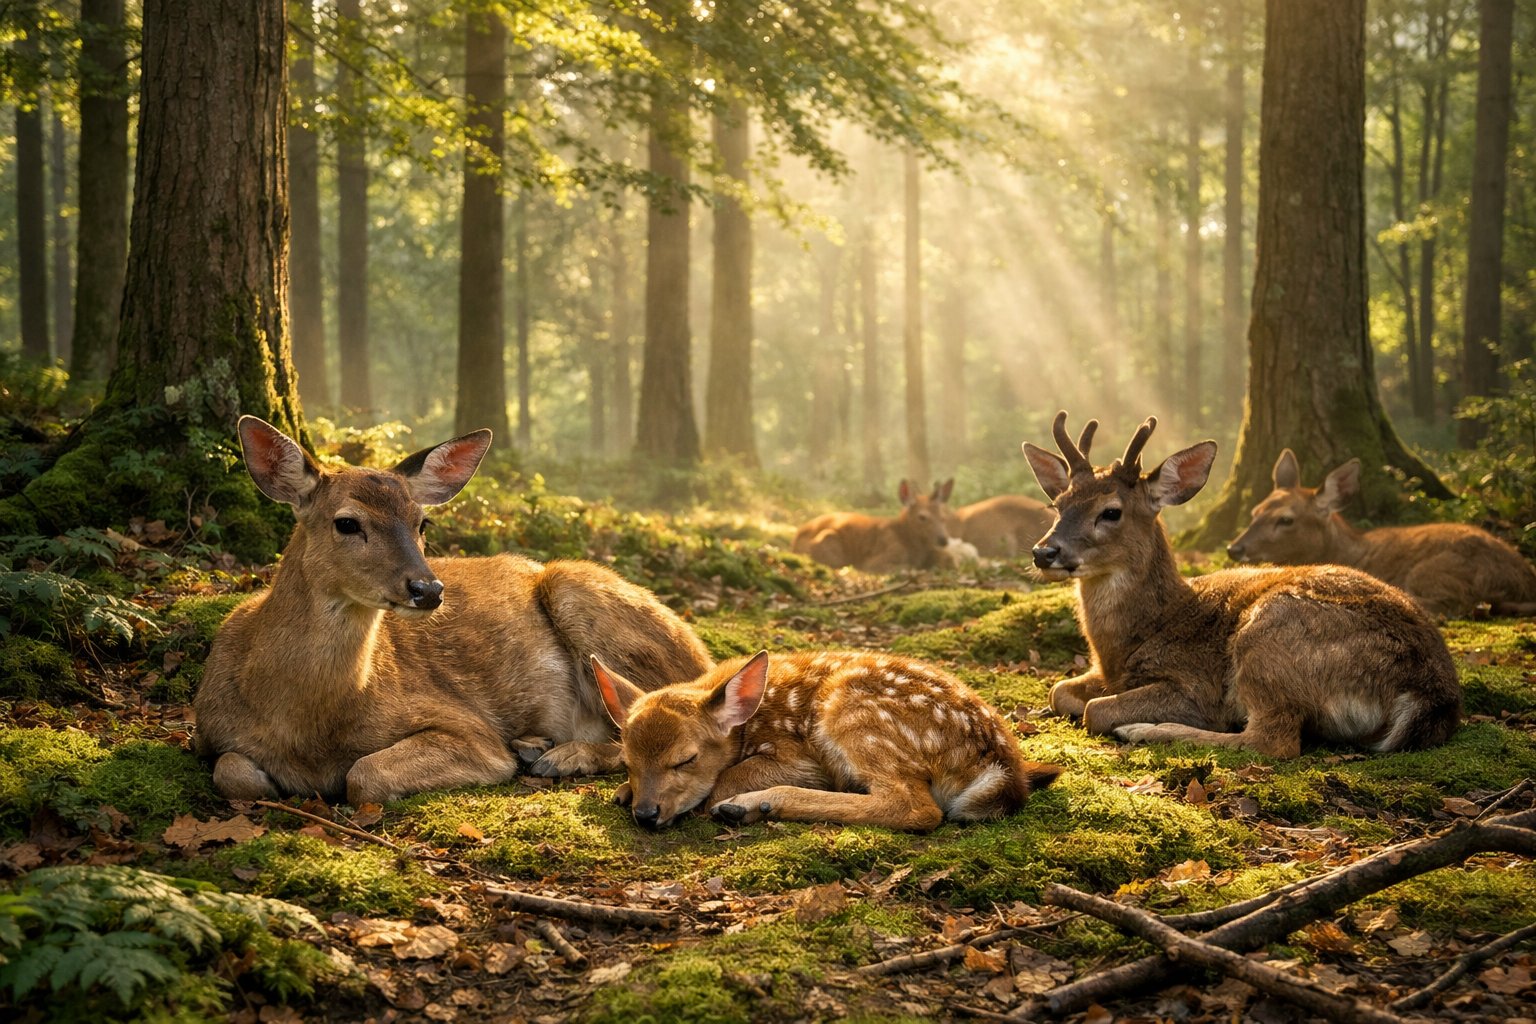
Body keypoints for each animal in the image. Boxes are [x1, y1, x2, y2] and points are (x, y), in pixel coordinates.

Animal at [193, 416, 713, 806]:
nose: (427, 589)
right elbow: (231, 770)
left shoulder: (466, 727)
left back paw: (557, 756)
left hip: (579, 592)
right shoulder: (208, 732)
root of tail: (702, 655)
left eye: (422, 522)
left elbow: (363, 774)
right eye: (346, 522)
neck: (304, 723)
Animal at [590, 649, 1062, 831]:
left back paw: (755, 805)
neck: (749, 724)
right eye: (627, 761)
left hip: (853, 709)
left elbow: (725, 779)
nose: (646, 814)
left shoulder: (799, 757)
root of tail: (999, 768)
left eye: (685, 760)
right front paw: (621, 791)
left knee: (916, 807)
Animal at [791, 480, 956, 572]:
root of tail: (793, 543)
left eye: (943, 517)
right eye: (922, 517)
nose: (943, 539)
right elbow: (908, 567)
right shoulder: (875, 561)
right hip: (827, 539)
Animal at [1022, 412, 1461, 758]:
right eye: (1057, 505)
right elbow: (1058, 690)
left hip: (1271, 636)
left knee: (1274, 740)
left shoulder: (1194, 684)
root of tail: (1430, 694)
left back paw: (1142, 730)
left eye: (1111, 512)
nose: (1044, 552)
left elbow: (1095, 708)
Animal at [1227, 450, 1536, 619]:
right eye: (1255, 511)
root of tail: (1524, 580)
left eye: (1286, 519)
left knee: (1456, 603)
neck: (1349, 550)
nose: (1234, 548)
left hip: (1435, 569)